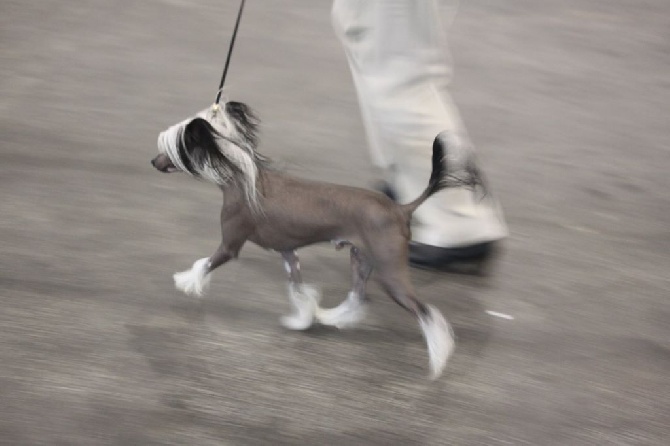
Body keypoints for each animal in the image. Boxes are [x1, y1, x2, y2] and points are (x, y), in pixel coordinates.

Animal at [152, 101, 478, 380]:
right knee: (359, 295)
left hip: (390, 271)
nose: (153, 161)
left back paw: (438, 357)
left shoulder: (230, 246)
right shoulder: (288, 252)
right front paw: (303, 318)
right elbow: (298, 289)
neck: (242, 178)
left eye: (171, 147)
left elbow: (205, 263)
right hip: (361, 259)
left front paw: (186, 281)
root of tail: (401, 208)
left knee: (425, 312)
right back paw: (333, 317)